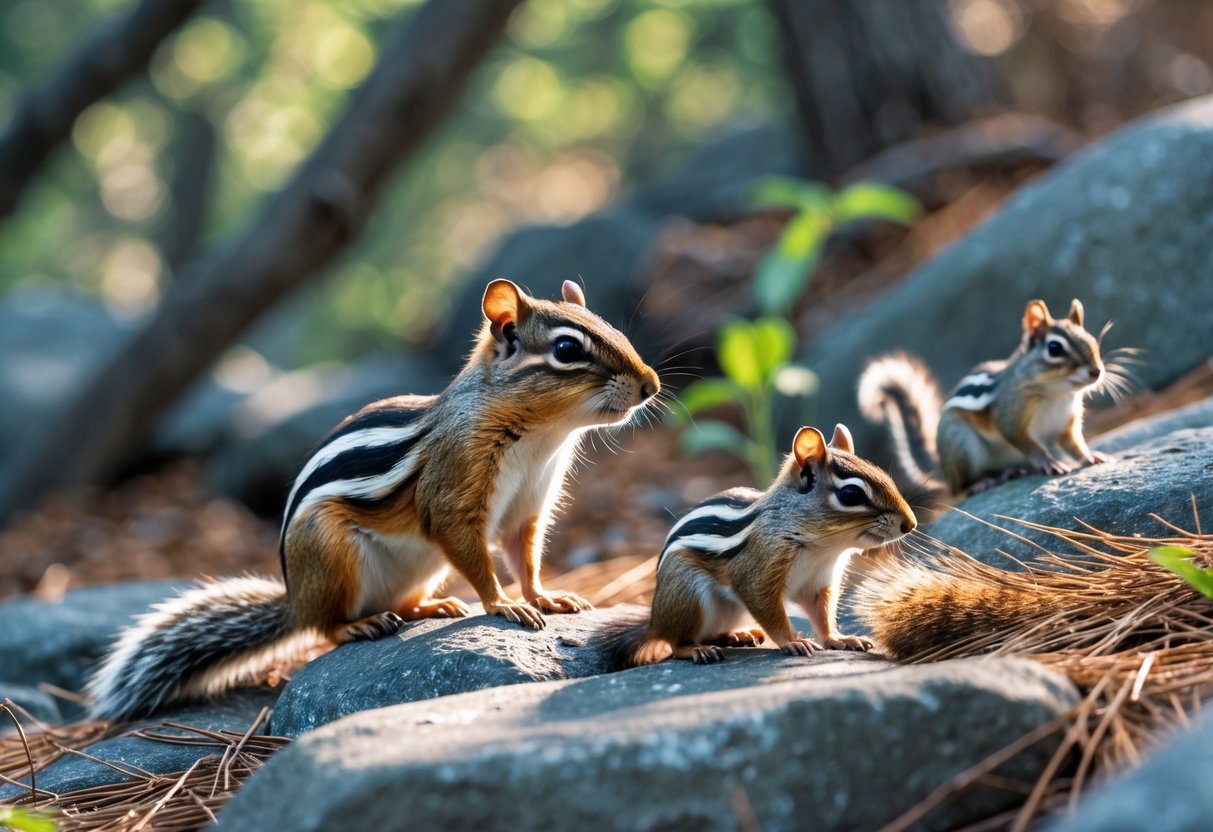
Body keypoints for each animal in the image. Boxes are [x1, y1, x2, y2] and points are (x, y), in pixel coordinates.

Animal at [87, 279, 660, 720]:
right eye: (567, 350)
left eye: (612, 327)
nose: (651, 385)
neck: (545, 436)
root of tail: (296, 597)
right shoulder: (454, 491)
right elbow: (471, 549)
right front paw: (503, 604)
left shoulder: (529, 507)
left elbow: (526, 556)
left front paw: (545, 596)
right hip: (329, 551)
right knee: (323, 628)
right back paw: (359, 623)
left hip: (423, 565)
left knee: (400, 603)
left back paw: (432, 606)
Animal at [598, 423, 916, 669]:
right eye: (851, 493)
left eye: (883, 475)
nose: (910, 524)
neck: (823, 547)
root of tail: (654, 620)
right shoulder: (758, 573)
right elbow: (769, 611)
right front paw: (794, 642)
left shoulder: (819, 583)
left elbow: (823, 616)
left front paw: (839, 639)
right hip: (687, 594)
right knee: (676, 642)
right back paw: (696, 649)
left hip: (731, 609)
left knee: (710, 633)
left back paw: (737, 636)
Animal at [858, 298, 1114, 496]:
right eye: (1055, 348)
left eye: (1092, 340)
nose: (1096, 371)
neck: (1056, 394)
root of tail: (944, 468)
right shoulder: (1011, 418)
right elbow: (1029, 444)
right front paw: (1050, 462)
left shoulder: (1066, 424)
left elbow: (1074, 444)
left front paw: (1090, 457)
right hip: (960, 443)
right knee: (960, 488)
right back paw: (982, 482)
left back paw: (1007, 472)